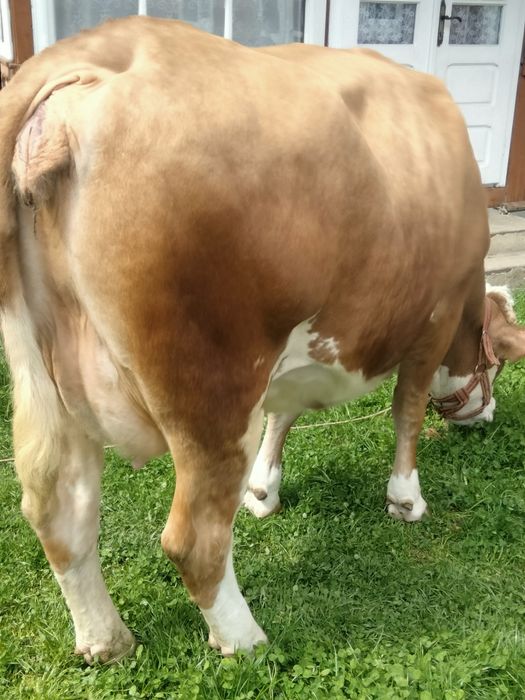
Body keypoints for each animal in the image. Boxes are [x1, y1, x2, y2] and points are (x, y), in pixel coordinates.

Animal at [1, 17, 524, 663]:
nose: (485, 417)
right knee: (193, 538)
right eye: (496, 366)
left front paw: (263, 490)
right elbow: (408, 407)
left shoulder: (292, 357)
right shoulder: (435, 316)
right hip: (212, 390)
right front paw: (406, 499)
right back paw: (245, 639)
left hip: (42, 379)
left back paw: (107, 641)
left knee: (60, 511)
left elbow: (285, 414)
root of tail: (94, 51)